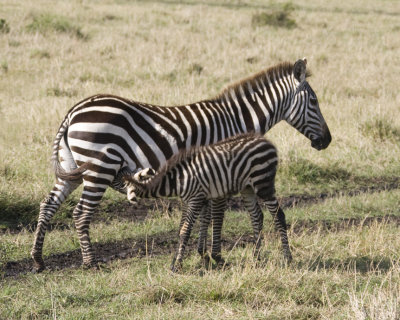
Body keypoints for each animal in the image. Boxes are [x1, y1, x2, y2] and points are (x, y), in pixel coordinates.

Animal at [123, 134, 290, 272]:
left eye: (124, 186)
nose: (131, 203)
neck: (178, 180)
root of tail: (267, 142)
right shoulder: (188, 201)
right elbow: (181, 229)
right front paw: (175, 262)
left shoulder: (195, 199)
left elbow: (185, 231)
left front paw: (177, 265)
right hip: (248, 187)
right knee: (256, 216)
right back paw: (256, 257)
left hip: (263, 184)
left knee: (278, 215)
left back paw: (288, 257)